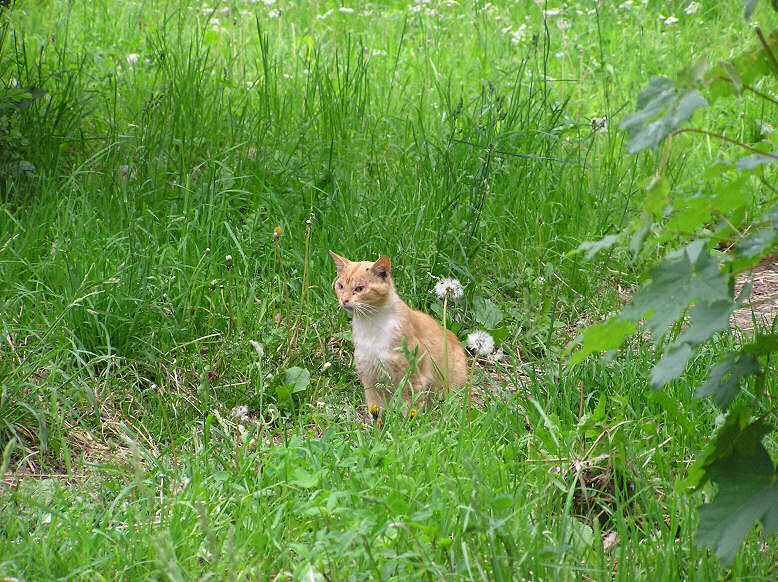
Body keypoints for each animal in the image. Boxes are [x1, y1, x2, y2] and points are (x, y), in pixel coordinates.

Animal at [326, 251, 464, 416]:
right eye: (340, 286)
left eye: (359, 289)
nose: (344, 300)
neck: (371, 325)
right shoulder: (369, 377)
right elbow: (376, 411)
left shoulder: (411, 378)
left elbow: (410, 411)